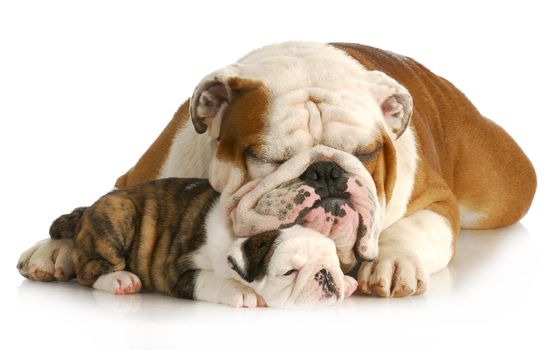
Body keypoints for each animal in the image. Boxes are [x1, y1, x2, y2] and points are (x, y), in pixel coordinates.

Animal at [46, 179, 356, 308]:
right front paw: (240, 291)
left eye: (332, 263)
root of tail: (87, 210)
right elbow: (210, 280)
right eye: (289, 273)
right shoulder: (176, 271)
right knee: (88, 271)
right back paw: (120, 280)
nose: (325, 275)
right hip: (119, 212)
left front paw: (347, 281)